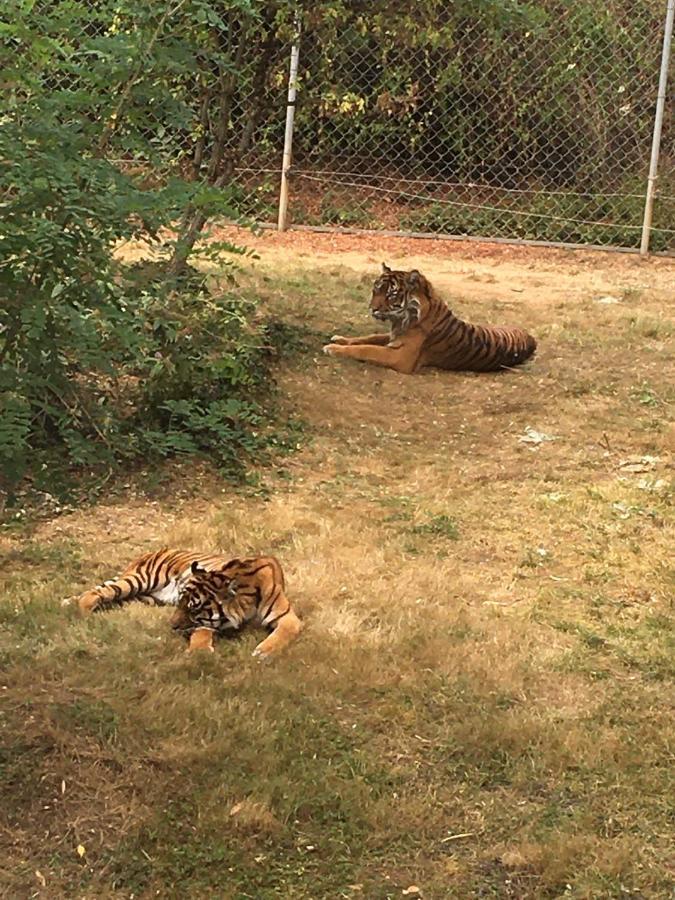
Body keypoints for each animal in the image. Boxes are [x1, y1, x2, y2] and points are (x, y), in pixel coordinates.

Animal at [74, 544, 304, 656]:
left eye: (193, 609)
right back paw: (84, 615)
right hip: (141, 580)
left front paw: (263, 651)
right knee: (91, 594)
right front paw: (200, 653)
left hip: (141, 599)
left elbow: (285, 631)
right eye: (181, 603)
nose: (171, 626)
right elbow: (201, 633)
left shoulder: (288, 617)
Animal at [324, 262, 540, 374]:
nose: (372, 308)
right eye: (375, 290)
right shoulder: (394, 335)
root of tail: (531, 337)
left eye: (391, 294)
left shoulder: (401, 356)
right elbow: (369, 338)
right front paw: (339, 339)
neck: (403, 320)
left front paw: (333, 348)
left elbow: (367, 349)